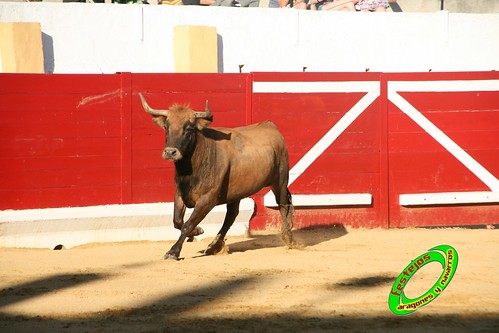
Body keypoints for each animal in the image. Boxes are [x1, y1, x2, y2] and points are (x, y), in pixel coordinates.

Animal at [138, 92, 292, 260]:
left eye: (189, 128)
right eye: (166, 127)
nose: (170, 152)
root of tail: (270, 125)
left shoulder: (207, 199)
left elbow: (187, 224)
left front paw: (173, 252)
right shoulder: (180, 193)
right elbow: (177, 221)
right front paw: (197, 231)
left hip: (280, 180)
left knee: (282, 204)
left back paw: (288, 238)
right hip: (237, 192)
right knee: (231, 216)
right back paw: (214, 246)